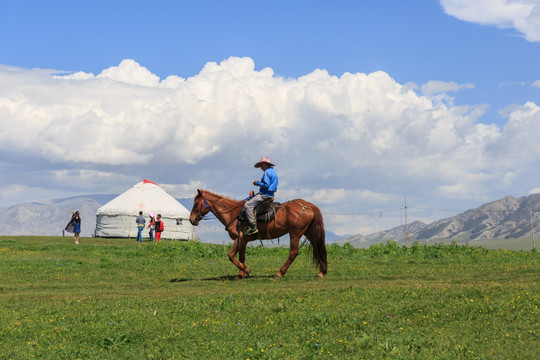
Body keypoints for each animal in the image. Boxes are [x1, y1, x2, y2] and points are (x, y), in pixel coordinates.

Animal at [188, 190, 326, 280]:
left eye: (196, 203)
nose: (191, 219)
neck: (233, 213)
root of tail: (309, 206)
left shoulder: (239, 238)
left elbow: (231, 256)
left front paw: (246, 270)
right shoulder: (243, 242)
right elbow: (241, 257)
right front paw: (241, 274)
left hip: (295, 234)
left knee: (294, 253)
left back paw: (279, 273)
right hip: (308, 232)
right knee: (318, 248)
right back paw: (321, 272)